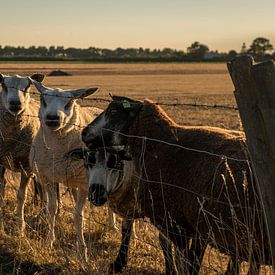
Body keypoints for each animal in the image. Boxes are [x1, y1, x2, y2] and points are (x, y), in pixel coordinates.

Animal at [0, 73, 44, 235]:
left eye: (27, 86)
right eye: (4, 85)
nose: (15, 103)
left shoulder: (27, 167)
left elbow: (21, 195)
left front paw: (20, 225)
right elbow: (1, 189)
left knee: (42, 187)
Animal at [29, 82, 116, 264]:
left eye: (69, 102)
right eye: (42, 99)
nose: (52, 118)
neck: (57, 152)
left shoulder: (84, 184)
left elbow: (78, 216)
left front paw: (83, 253)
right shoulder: (48, 178)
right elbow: (51, 209)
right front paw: (49, 241)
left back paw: (113, 226)